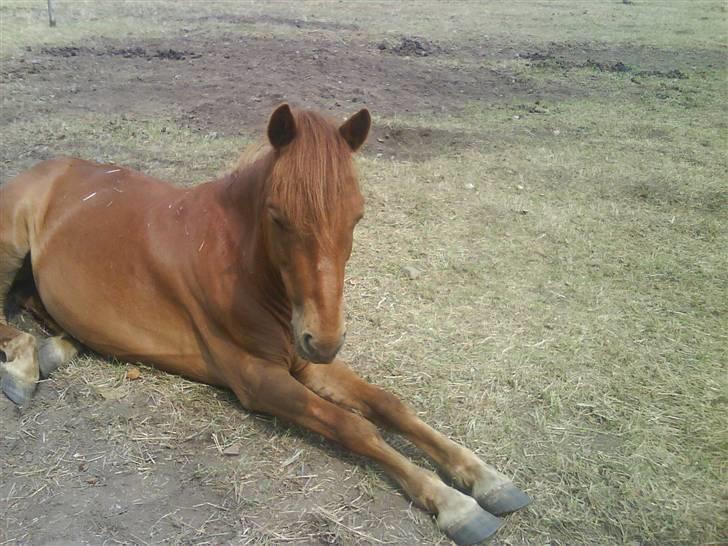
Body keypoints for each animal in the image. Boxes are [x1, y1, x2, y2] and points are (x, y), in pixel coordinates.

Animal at [2, 104, 532, 540]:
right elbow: (356, 427)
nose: (325, 339)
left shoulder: (308, 363)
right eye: (278, 217)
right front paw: (453, 504)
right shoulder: (259, 379)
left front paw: (486, 478)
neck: (240, 266)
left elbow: (388, 405)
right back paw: (23, 368)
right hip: (9, 245)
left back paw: (53, 349)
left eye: (357, 217)